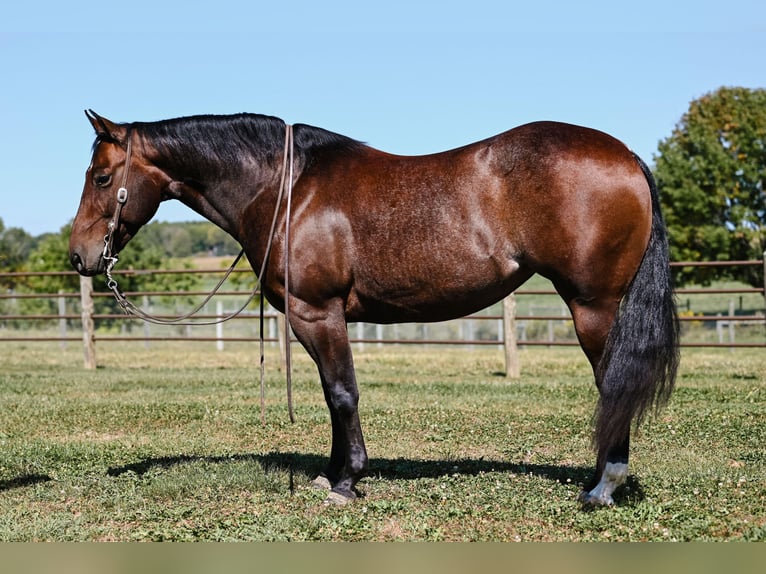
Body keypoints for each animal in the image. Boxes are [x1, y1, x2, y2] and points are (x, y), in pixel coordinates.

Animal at [69, 111, 680, 508]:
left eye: (102, 177)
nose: (79, 255)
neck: (288, 186)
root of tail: (626, 155)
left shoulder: (317, 312)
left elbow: (343, 393)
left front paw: (346, 483)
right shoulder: (317, 317)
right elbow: (331, 394)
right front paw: (331, 474)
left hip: (592, 308)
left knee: (614, 386)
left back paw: (604, 486)